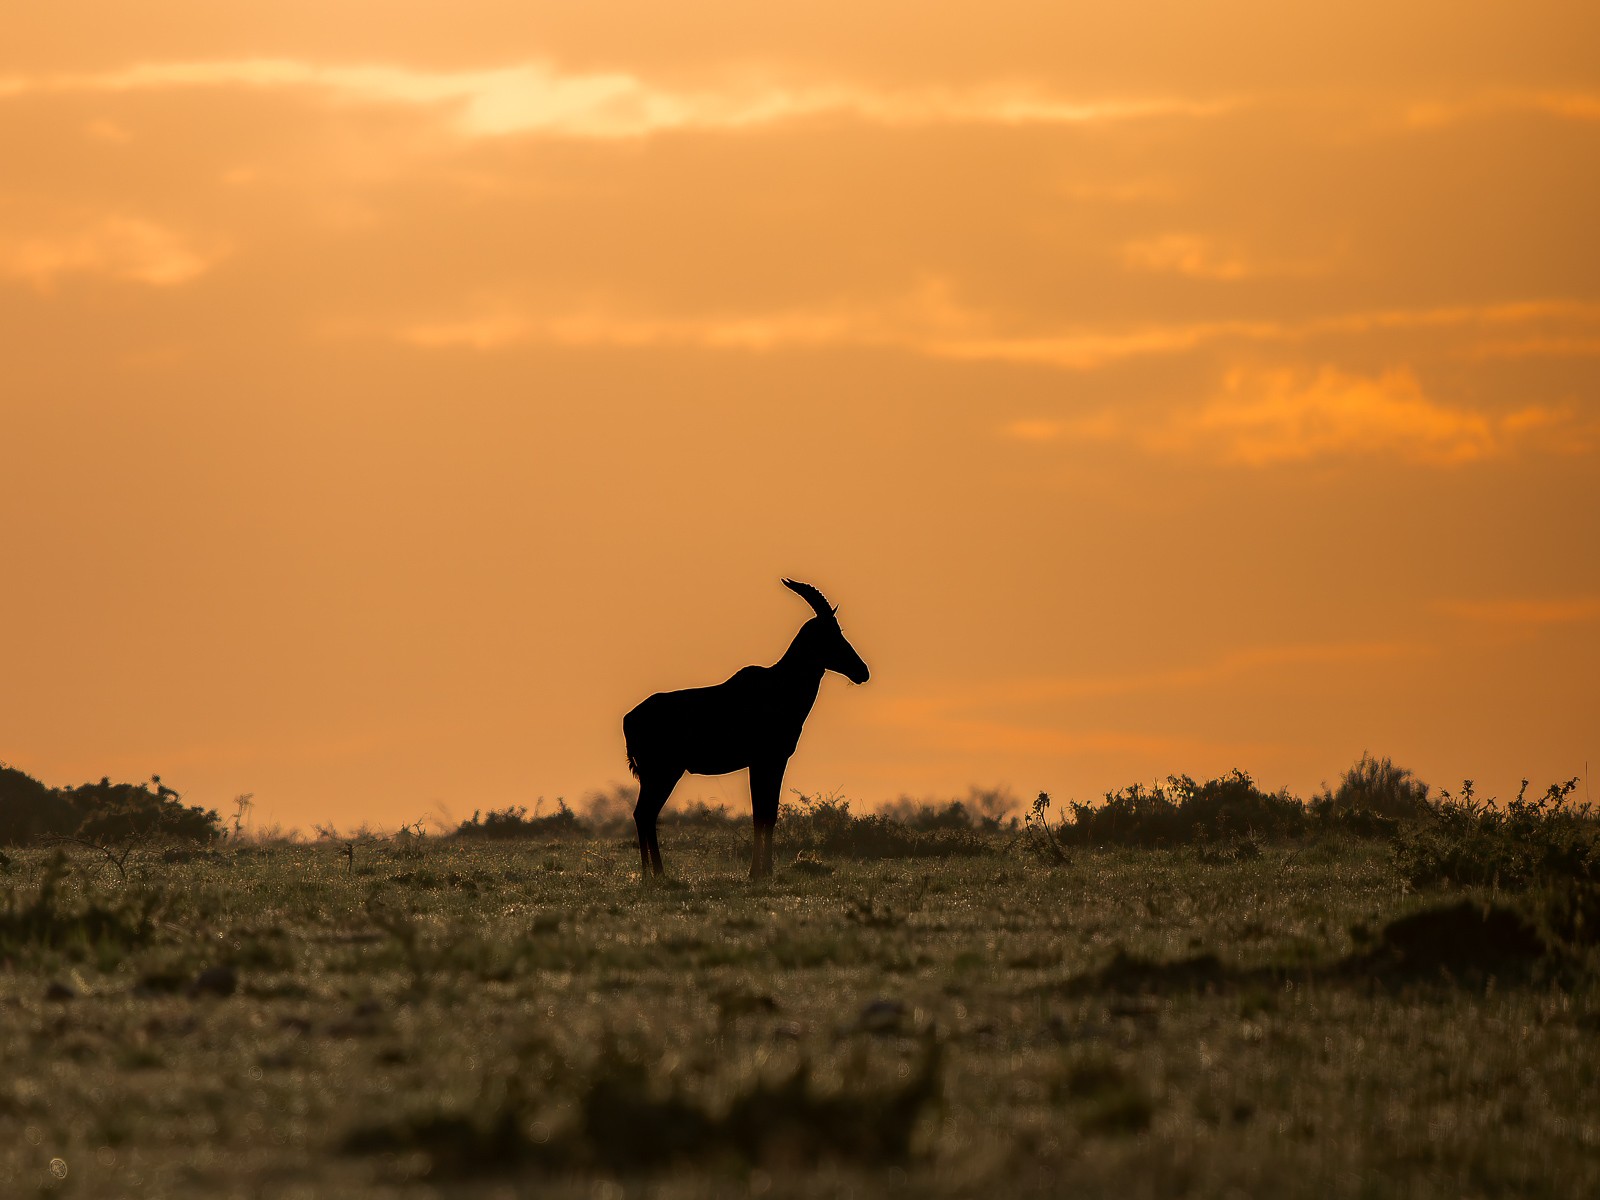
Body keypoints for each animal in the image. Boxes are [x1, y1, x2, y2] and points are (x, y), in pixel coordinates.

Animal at [627, 579, 876, 876]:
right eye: (830, 633)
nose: (862, 671)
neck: (778, 684)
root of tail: (629, 718)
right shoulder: (766, 760)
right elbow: (762, 814)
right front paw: (757, 872)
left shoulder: (769, 762)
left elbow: (768, 814)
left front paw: (764, 870)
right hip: (664, 772)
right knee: (645, 813)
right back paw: (655, 874)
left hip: (656, 775)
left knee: (643, 814)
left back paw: (651, 875)